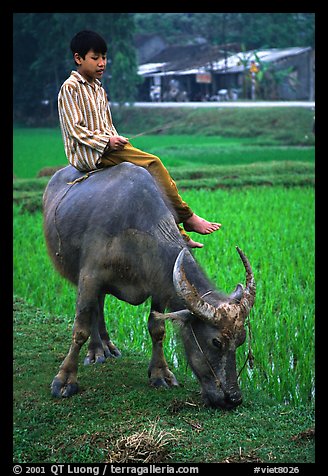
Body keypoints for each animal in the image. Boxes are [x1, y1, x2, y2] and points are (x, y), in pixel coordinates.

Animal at [43, 163, 256, 410]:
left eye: (241, 340)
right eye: (216, 342)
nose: (233, 398)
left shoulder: (159, 284)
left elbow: (157, 329)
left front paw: (160, 374)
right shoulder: (89, 276)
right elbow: (80, 329)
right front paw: (65, 380)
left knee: (100, 304)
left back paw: (107, 345)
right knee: (94, 309)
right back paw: (96, 350)